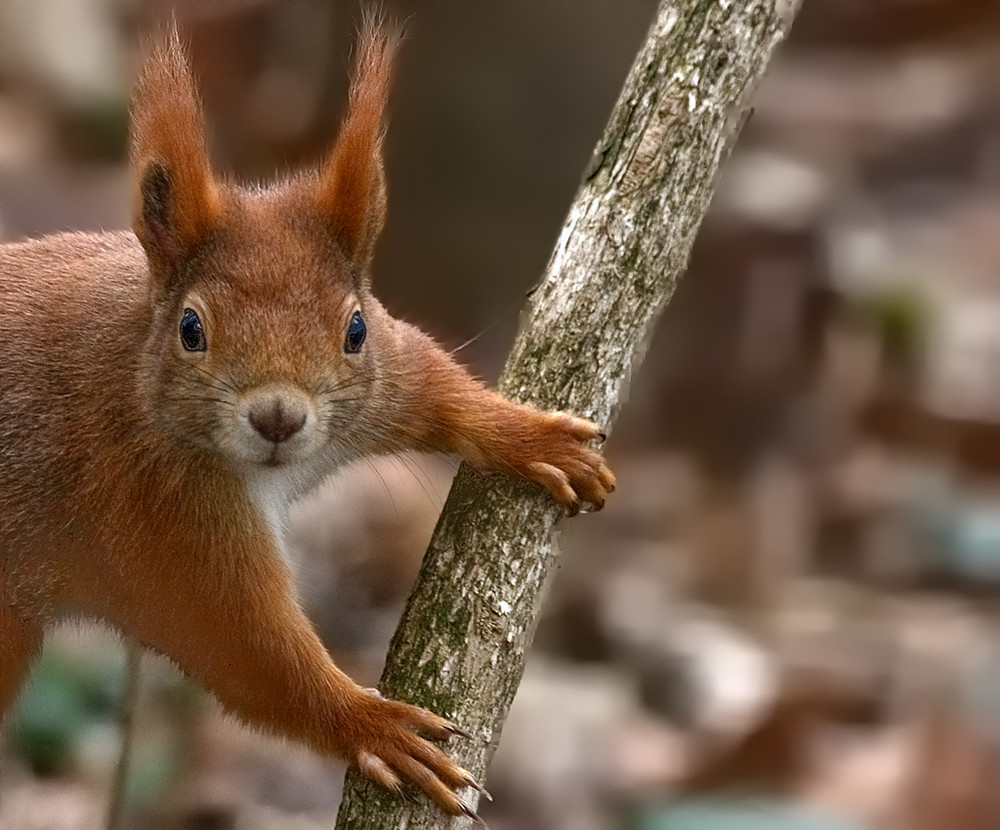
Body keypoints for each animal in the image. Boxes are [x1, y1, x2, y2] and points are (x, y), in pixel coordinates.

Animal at [0, 17, 612, 820]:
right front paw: (370, 724)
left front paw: (530, 438)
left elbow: (433, 385)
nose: (278, 418)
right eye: (191, 329)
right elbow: (246, 652)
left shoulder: (381, 383)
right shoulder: (155, 521)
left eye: (354, 329)